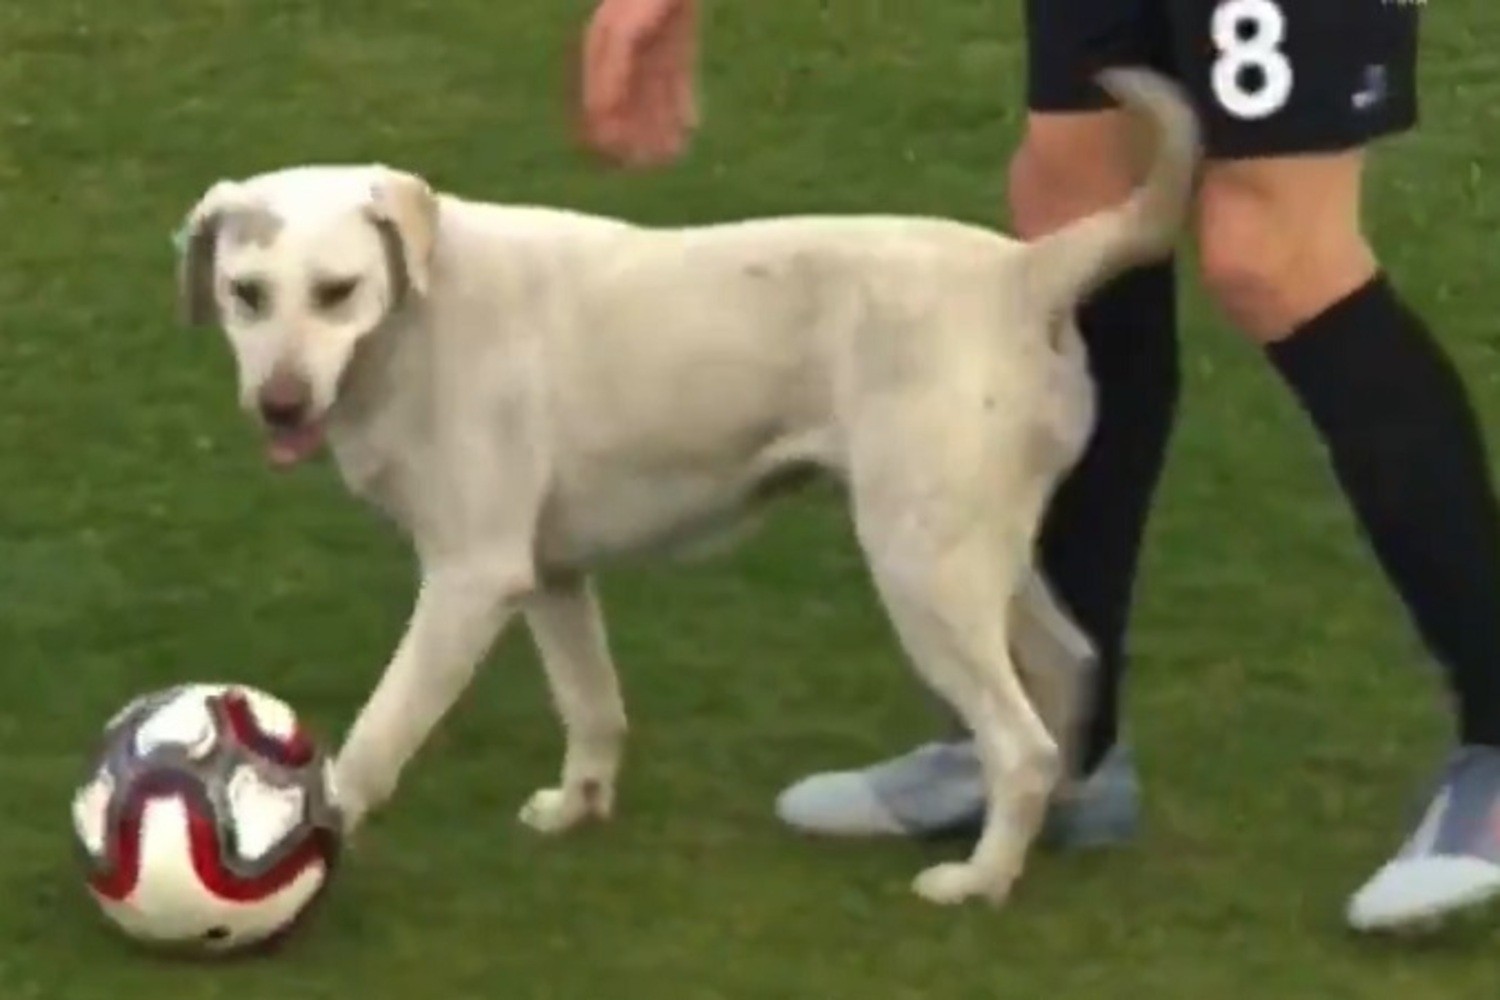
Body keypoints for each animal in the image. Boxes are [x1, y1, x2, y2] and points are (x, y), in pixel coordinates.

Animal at [175, 64, 1200, 905]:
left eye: (337, 291)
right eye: (246, 294)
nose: (278, 404)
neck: (416, 319)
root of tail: (1025, 271)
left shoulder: (470, 579)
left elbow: (374, 741)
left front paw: (311, 843)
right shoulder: (549, 575)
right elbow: (594, 706)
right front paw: (577, 808)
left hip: (922, 571)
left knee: (1020, 745)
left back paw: (977, 881)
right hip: (975, 556)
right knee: (1070, 666)